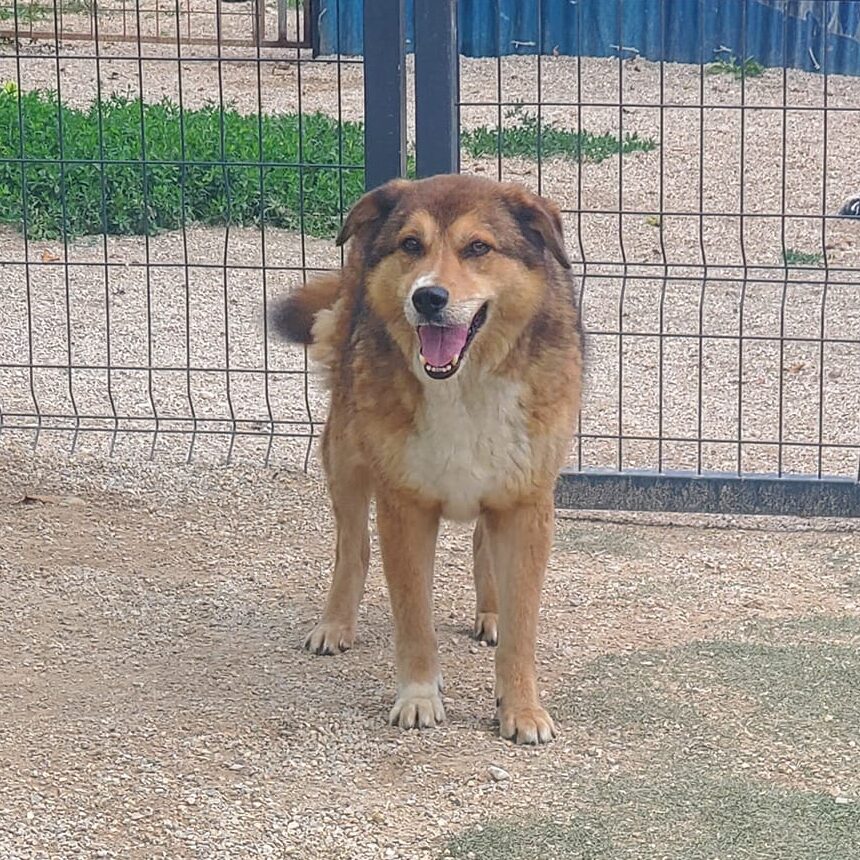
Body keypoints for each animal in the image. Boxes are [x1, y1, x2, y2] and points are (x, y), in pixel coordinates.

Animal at [270, 174, 583, 744]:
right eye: (411, 245)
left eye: (478, 248)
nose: (429, 297)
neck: (463, 384)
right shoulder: (405, 507)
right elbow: (413, 616)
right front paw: (418, 697)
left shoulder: (525, 505)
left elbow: (523, 627)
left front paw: (521, 708)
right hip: (345, 455)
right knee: (352, 547)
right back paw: (335, 623)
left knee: (482, 545)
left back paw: (489, 613)